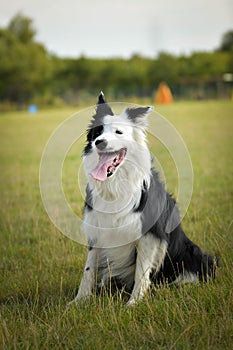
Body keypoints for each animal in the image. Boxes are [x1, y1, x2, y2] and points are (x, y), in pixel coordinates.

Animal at [72, 93, 217, 306]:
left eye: (118, 132)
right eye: (98, 131)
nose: (99, 142)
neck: (116, 185)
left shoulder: (149, 234)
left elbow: (141, 271)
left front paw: (134, 302)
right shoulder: (97, 230)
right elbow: (88, 270)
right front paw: (79, 301)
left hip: (194, 253)